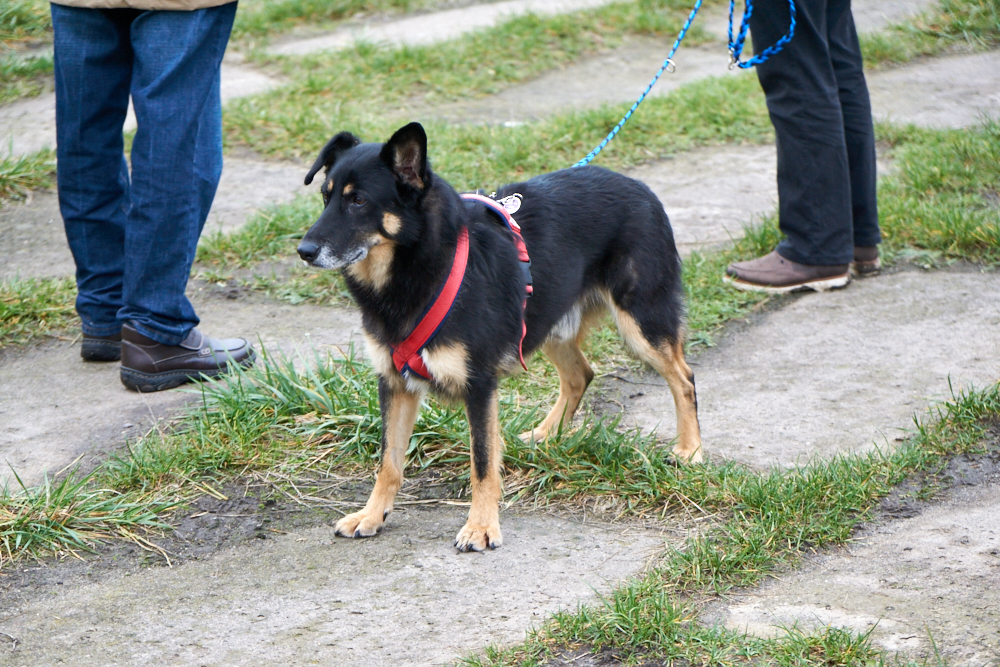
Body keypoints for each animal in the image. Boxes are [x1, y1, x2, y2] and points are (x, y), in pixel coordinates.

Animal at [297, 122, 701, 552]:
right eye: (325, 197)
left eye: (358, 201)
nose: (304, 250)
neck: (416, 267)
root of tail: (640, 188)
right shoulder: (394, 382)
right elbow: (389, 461)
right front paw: (372, 515)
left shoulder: (479, 384)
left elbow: (482, 461)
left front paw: (481, 526)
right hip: (547, 319)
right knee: (581, 374)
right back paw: (545, 434)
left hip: (641, 323)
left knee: (683, 377)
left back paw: (690, 450)